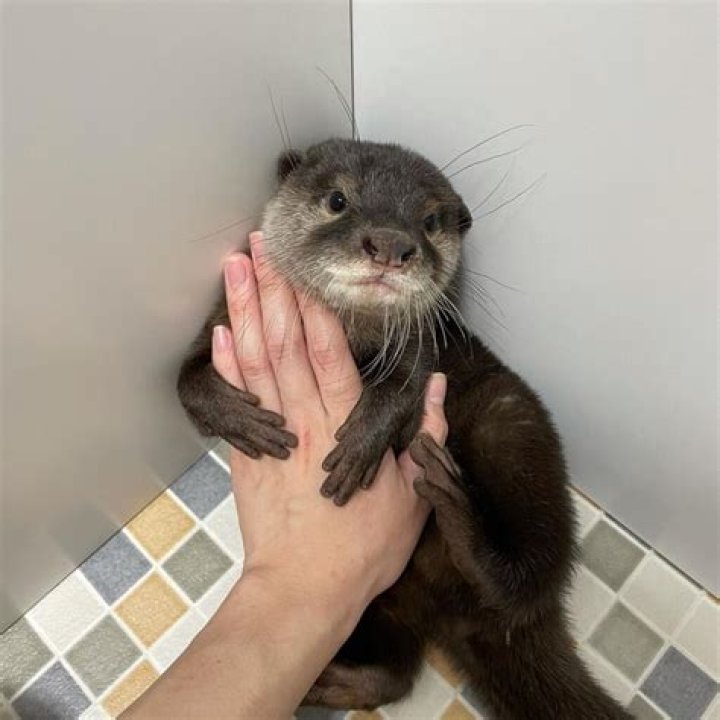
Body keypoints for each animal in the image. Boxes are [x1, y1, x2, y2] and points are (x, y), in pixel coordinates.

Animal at [177, 138, 633, 719]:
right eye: (337, 199)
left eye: (430, 221)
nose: (392, 243)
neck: (353, 336)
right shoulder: (221, 321)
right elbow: (184, 379)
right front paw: (241, 419)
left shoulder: (422, 346)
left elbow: (402, 389)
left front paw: (359, 445)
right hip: (382, 594)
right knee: (394, 669)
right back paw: (330, 682)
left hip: (513, 431)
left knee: (527, 584)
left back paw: (458, 510)